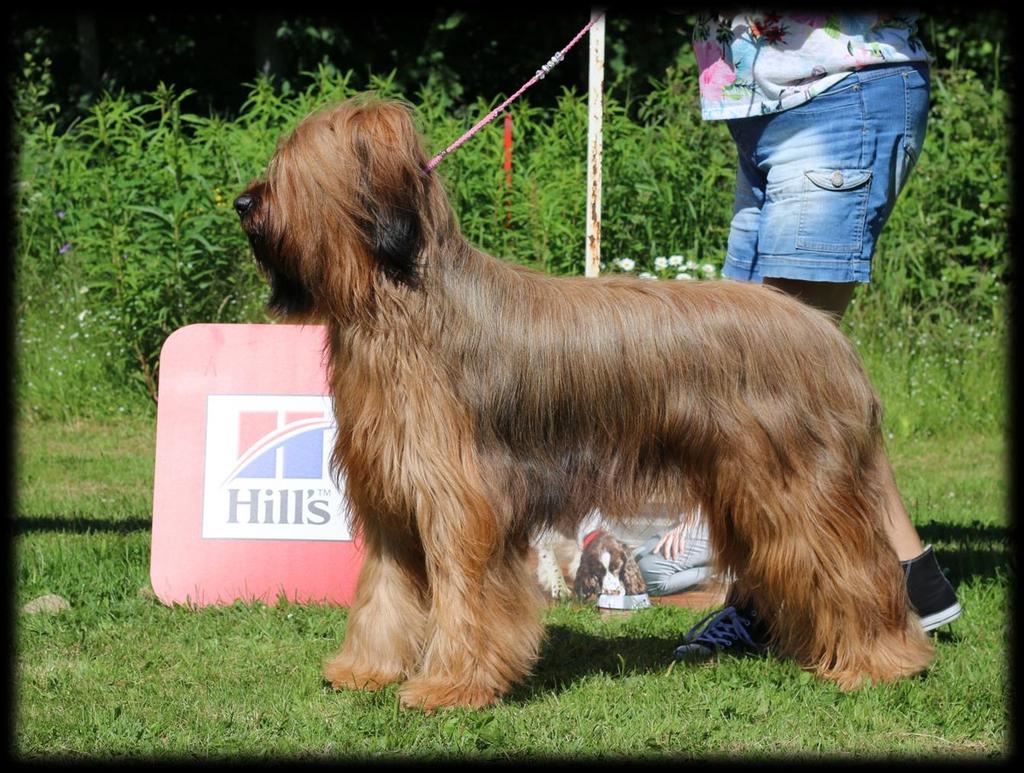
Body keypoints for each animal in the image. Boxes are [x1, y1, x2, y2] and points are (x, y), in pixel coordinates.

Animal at [237, 95, 937, 708]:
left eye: (293, 168)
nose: (244, 202)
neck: (399, 303)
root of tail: (826, 335)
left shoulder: (463, 503)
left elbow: (467, 598)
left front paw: (450, 686)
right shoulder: (391, 495)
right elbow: (383, 593)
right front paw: (366, 669)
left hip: (798, 490)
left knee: (856, 569)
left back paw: (882, 660)